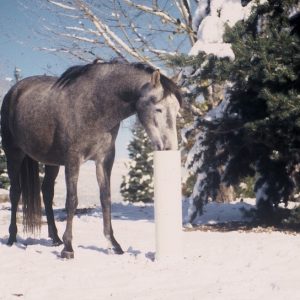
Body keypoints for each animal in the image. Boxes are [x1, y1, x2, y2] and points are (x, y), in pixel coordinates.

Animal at [1, 59, 182, 258]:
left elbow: (105, 198)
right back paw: (12, 238)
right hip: (14, 154)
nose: (170, 147)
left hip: (51, 162)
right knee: (15, 192)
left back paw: (55, 238)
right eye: (158, 108)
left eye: (177, 110)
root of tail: (14, 91)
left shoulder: (104, 159)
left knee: (47, 192)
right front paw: (68, 248)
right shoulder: (73, 159)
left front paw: (114, 244)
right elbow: (72, 201)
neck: (95, 105)